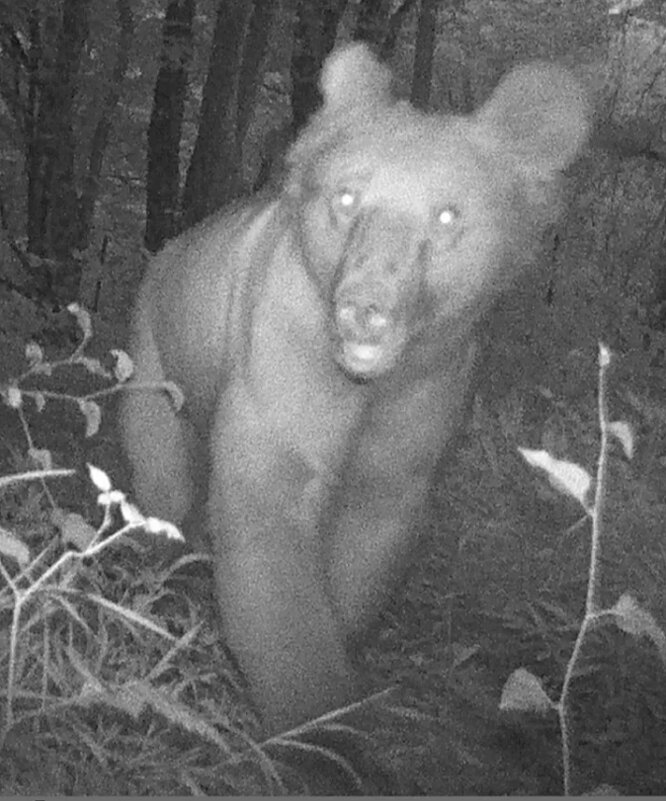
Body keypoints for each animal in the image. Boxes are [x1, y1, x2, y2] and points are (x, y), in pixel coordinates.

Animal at [120, 42, 590, 741]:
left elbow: (370, 535)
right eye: (346, 196)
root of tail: (168, 249)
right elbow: (269, 526)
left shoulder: (422, 402)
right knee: (163, 473)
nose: (366, 308)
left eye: (448, 212)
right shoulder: (284, 360)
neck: (369, 387)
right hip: (158, 355)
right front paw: (316, 719)